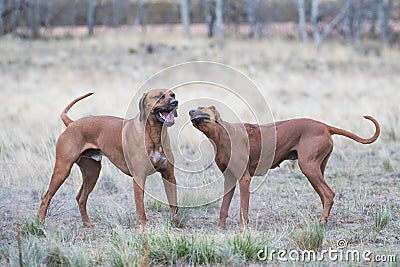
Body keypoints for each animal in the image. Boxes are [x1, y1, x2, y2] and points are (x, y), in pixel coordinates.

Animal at [38, 90, 179, 228]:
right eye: (159, 96)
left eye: (173, 94)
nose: (175, 102)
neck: (154, 135)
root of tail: (72, 123)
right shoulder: (139, 178)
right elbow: (140, 209)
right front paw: (143, 229)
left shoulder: (169, 175)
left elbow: (174, 204)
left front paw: (176, 223)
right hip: (63, 169)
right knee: (46, 197)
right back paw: (40, 225)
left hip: (92, 172)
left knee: (81, 197)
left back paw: (87, 223)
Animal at [189, 107, 380, 230]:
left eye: (202, 107)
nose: (190, 110)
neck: (222, 133)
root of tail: (324, 126)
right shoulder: (229, 179)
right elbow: (224, 208)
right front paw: (221, 229)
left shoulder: (244, 179)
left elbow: (243, 209)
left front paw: (242, 229)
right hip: (316, 170)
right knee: (326, 196)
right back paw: (323, 220)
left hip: (308, 167)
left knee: (329, 194)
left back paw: (321, 221)